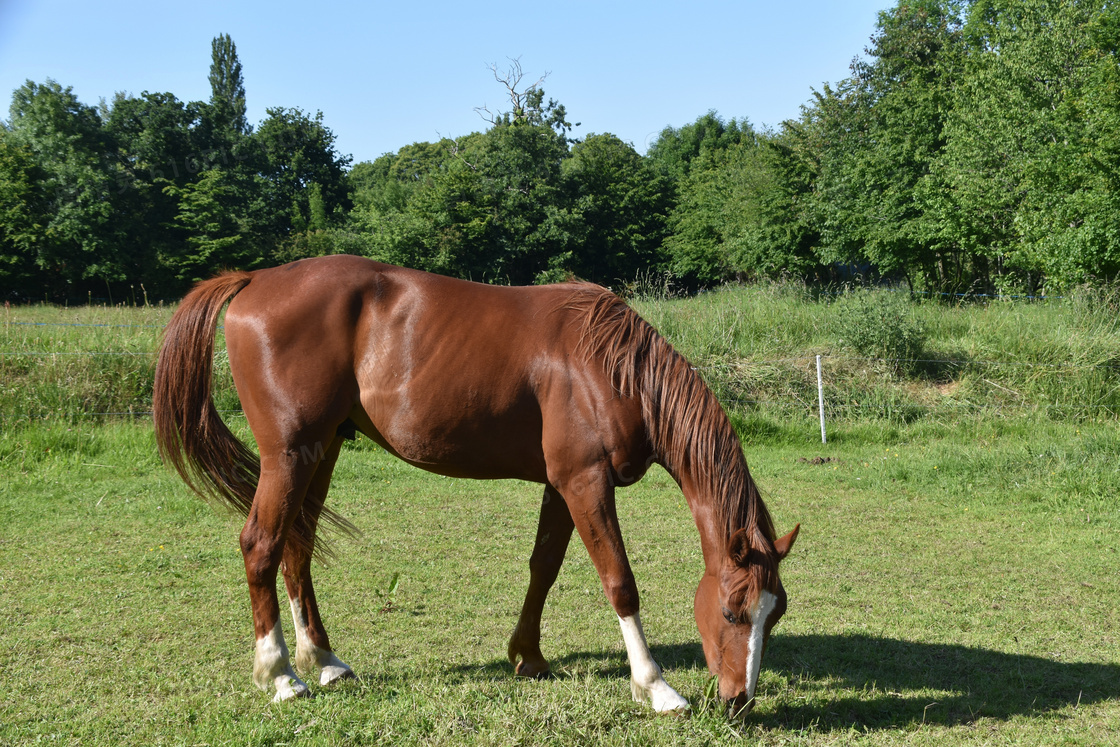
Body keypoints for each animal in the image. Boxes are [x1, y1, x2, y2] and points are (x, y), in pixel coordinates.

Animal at [153, 255, 801, 712]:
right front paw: (655, 687)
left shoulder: (561, 487)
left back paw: (325, 659)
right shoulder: (585, 482)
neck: (608, 367)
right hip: (288, 455)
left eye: (775, 615)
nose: (739, 702)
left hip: (323, 450)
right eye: (733, 611)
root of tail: (254, 280)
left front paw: (528, 656)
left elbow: (544, 568)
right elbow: (620, 582)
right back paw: (282, 674)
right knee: (260, 545)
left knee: (298, 545)